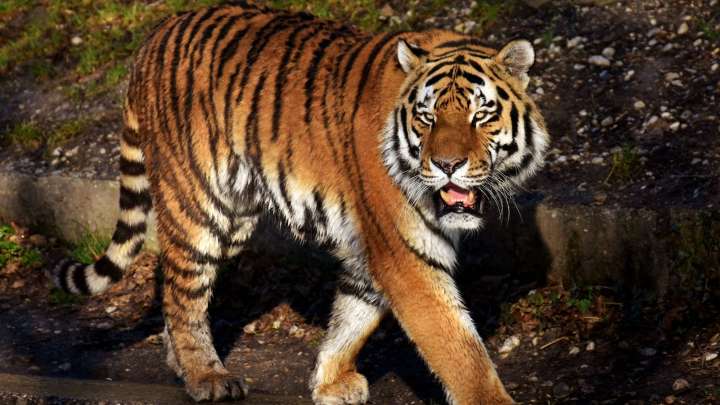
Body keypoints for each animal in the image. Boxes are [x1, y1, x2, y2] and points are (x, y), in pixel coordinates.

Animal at [51, 2, 549, 404]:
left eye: (481, 114)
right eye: (427, 117)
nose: (446, 165)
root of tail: (155, 34)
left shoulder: (372, 248)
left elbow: (353, 315)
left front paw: (329, 382)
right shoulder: (405, 253)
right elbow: (459, 350)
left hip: (235, 217)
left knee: (175, 287)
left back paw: (183, 366)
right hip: (198, 206)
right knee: (183, 292)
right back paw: (206, 377)